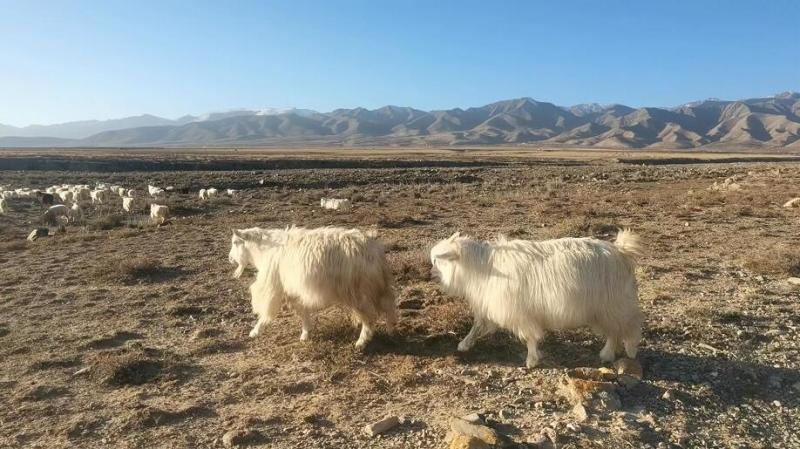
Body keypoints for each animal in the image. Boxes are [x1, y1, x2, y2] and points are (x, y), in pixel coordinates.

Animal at [228, 228, 396, 346]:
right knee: (388, 307)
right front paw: (305, 333)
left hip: (359, 292)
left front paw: (255, 331)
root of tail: (373, 250)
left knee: (370, 317)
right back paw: (390, 331)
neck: (265, 250)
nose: (230, 259)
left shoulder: (274, 288)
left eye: (236, 242)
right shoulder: (294, 291)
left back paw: (361, 342)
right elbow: (303, 311)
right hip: (378, 287)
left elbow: (268, 311)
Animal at [432, 229, 644, 366]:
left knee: (627, 327)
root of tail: (621, 251)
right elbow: (478, 325)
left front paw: (531, 360)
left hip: (614, 304)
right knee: (615, 330)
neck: (484, 268)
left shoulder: (520, 313)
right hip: (605, 308)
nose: (430, 272)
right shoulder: (490, 304)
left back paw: (625, 351)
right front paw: (464, 344)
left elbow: (530, 336)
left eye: (437, 260)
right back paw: (609, 354)